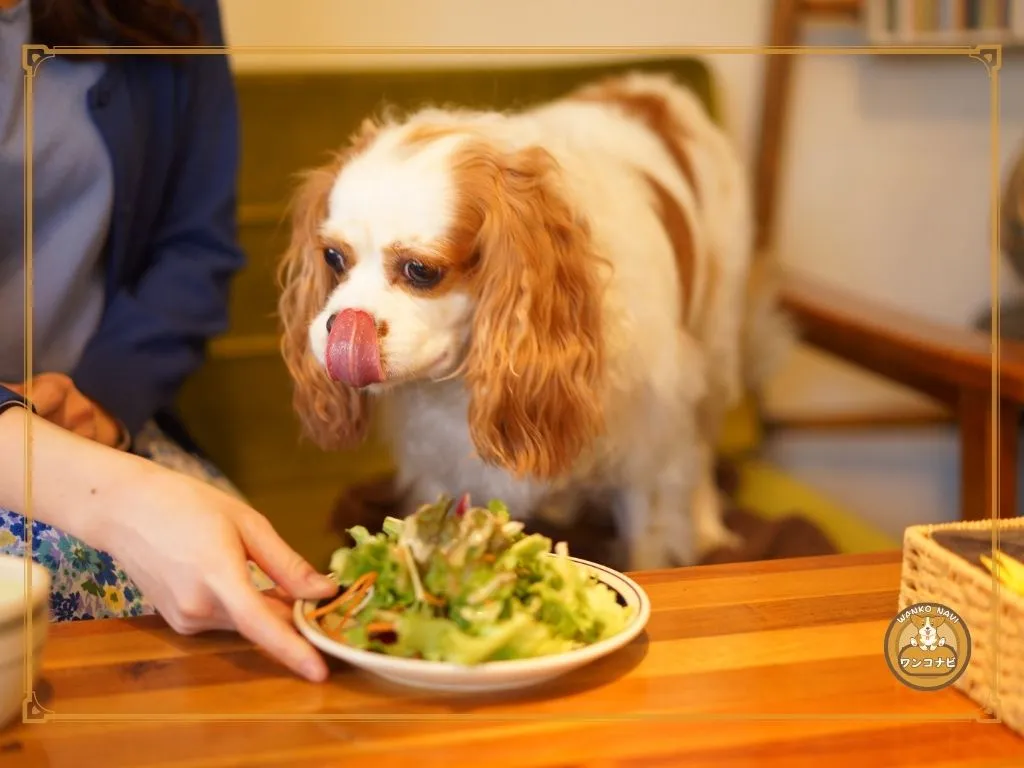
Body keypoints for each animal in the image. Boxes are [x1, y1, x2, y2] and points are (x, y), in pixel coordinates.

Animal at [274, 72, 790, 573]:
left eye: (421, 270)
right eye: (333, 258)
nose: (339, 326)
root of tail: (654, 89)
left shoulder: (648, 460)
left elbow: (648, 544)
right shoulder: (443, 467)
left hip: (716, 347)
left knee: (702, 445)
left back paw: (709, 526)